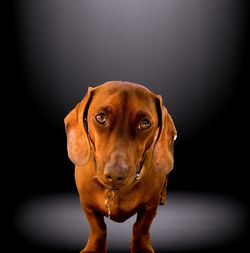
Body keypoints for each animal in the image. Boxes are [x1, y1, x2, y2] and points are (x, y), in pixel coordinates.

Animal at [64, 81, 178, 253]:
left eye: (145, 123)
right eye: (101, 117)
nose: (115, 175)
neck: (116, 191)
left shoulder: (150, 206)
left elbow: (141, 227)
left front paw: (141, 248)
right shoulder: (87, 205)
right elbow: (98, 228)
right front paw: (93, 248)